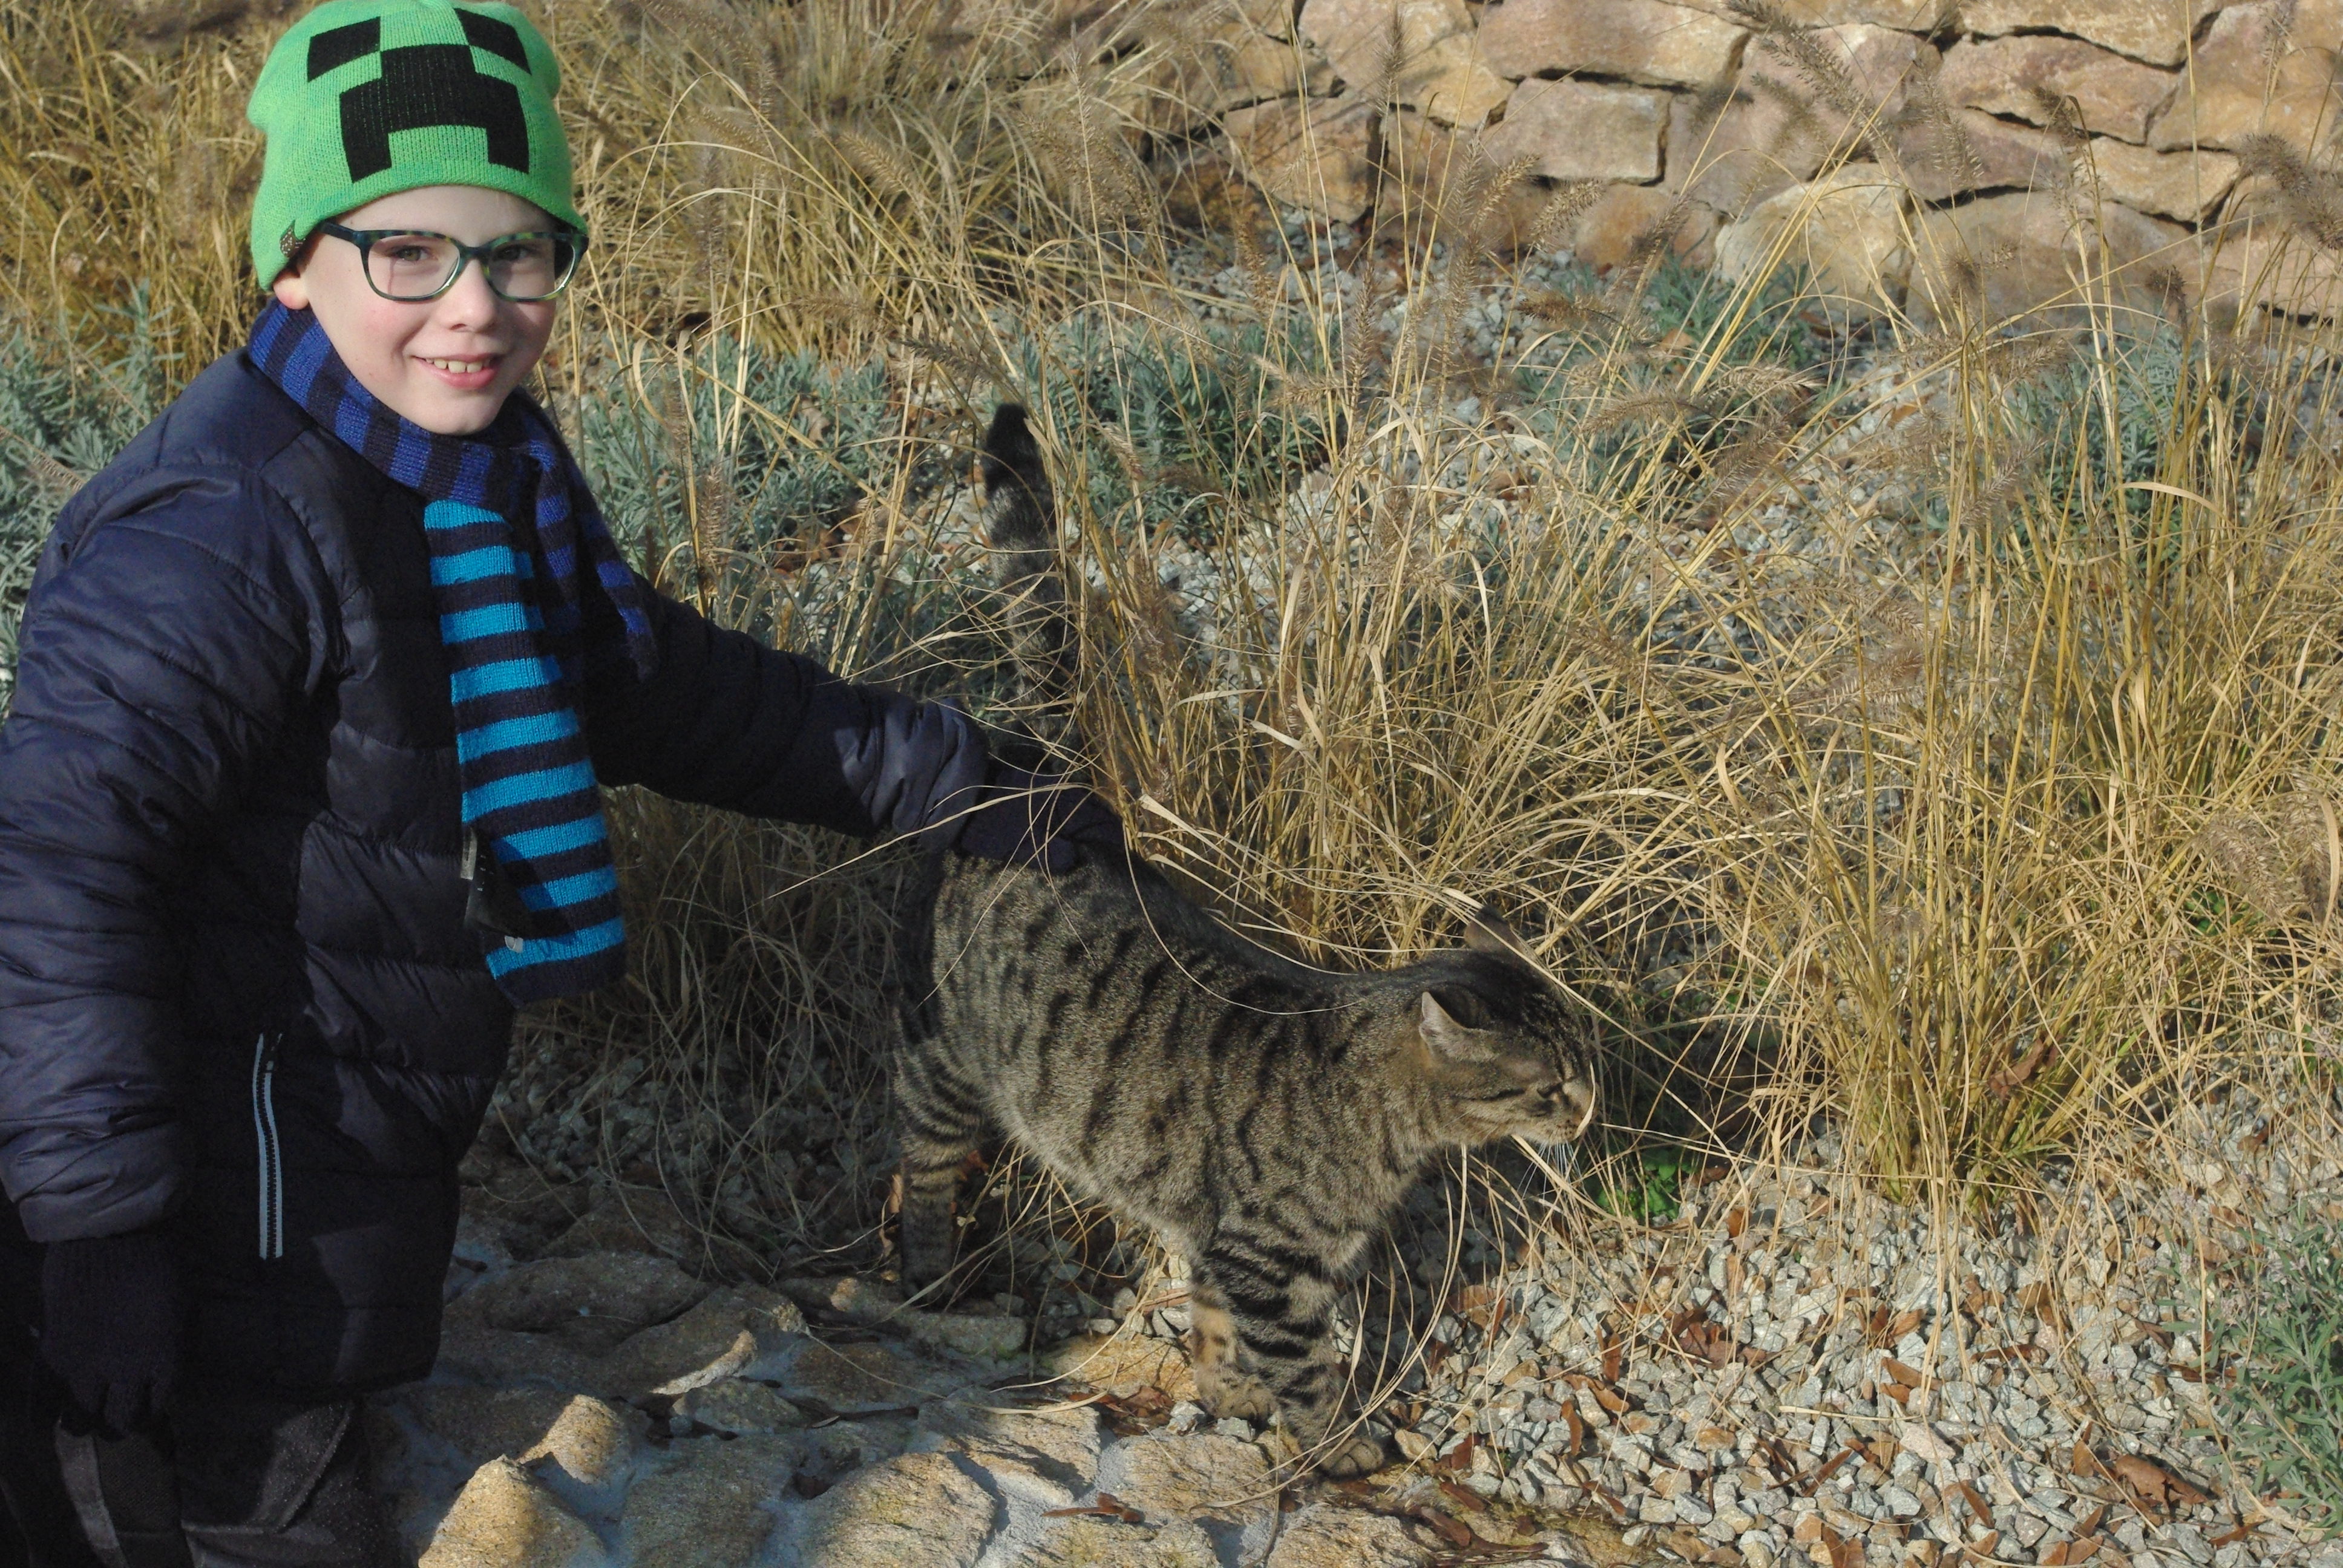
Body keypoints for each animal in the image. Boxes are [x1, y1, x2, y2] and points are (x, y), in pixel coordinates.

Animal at [890, 403, 1600, 1477]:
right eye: (1548, 1085)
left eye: (1578, 1070)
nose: (1590, 1111)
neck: (1381, 1117)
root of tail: (1046, 781)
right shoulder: (1273, 1263)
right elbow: (1304, 1367)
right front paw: (1341, 1443)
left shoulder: (1227, 1247)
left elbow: (1218, 1328)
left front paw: (1228, 1395)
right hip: (957, 1062)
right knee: (920, 1159)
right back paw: (926, 1267)